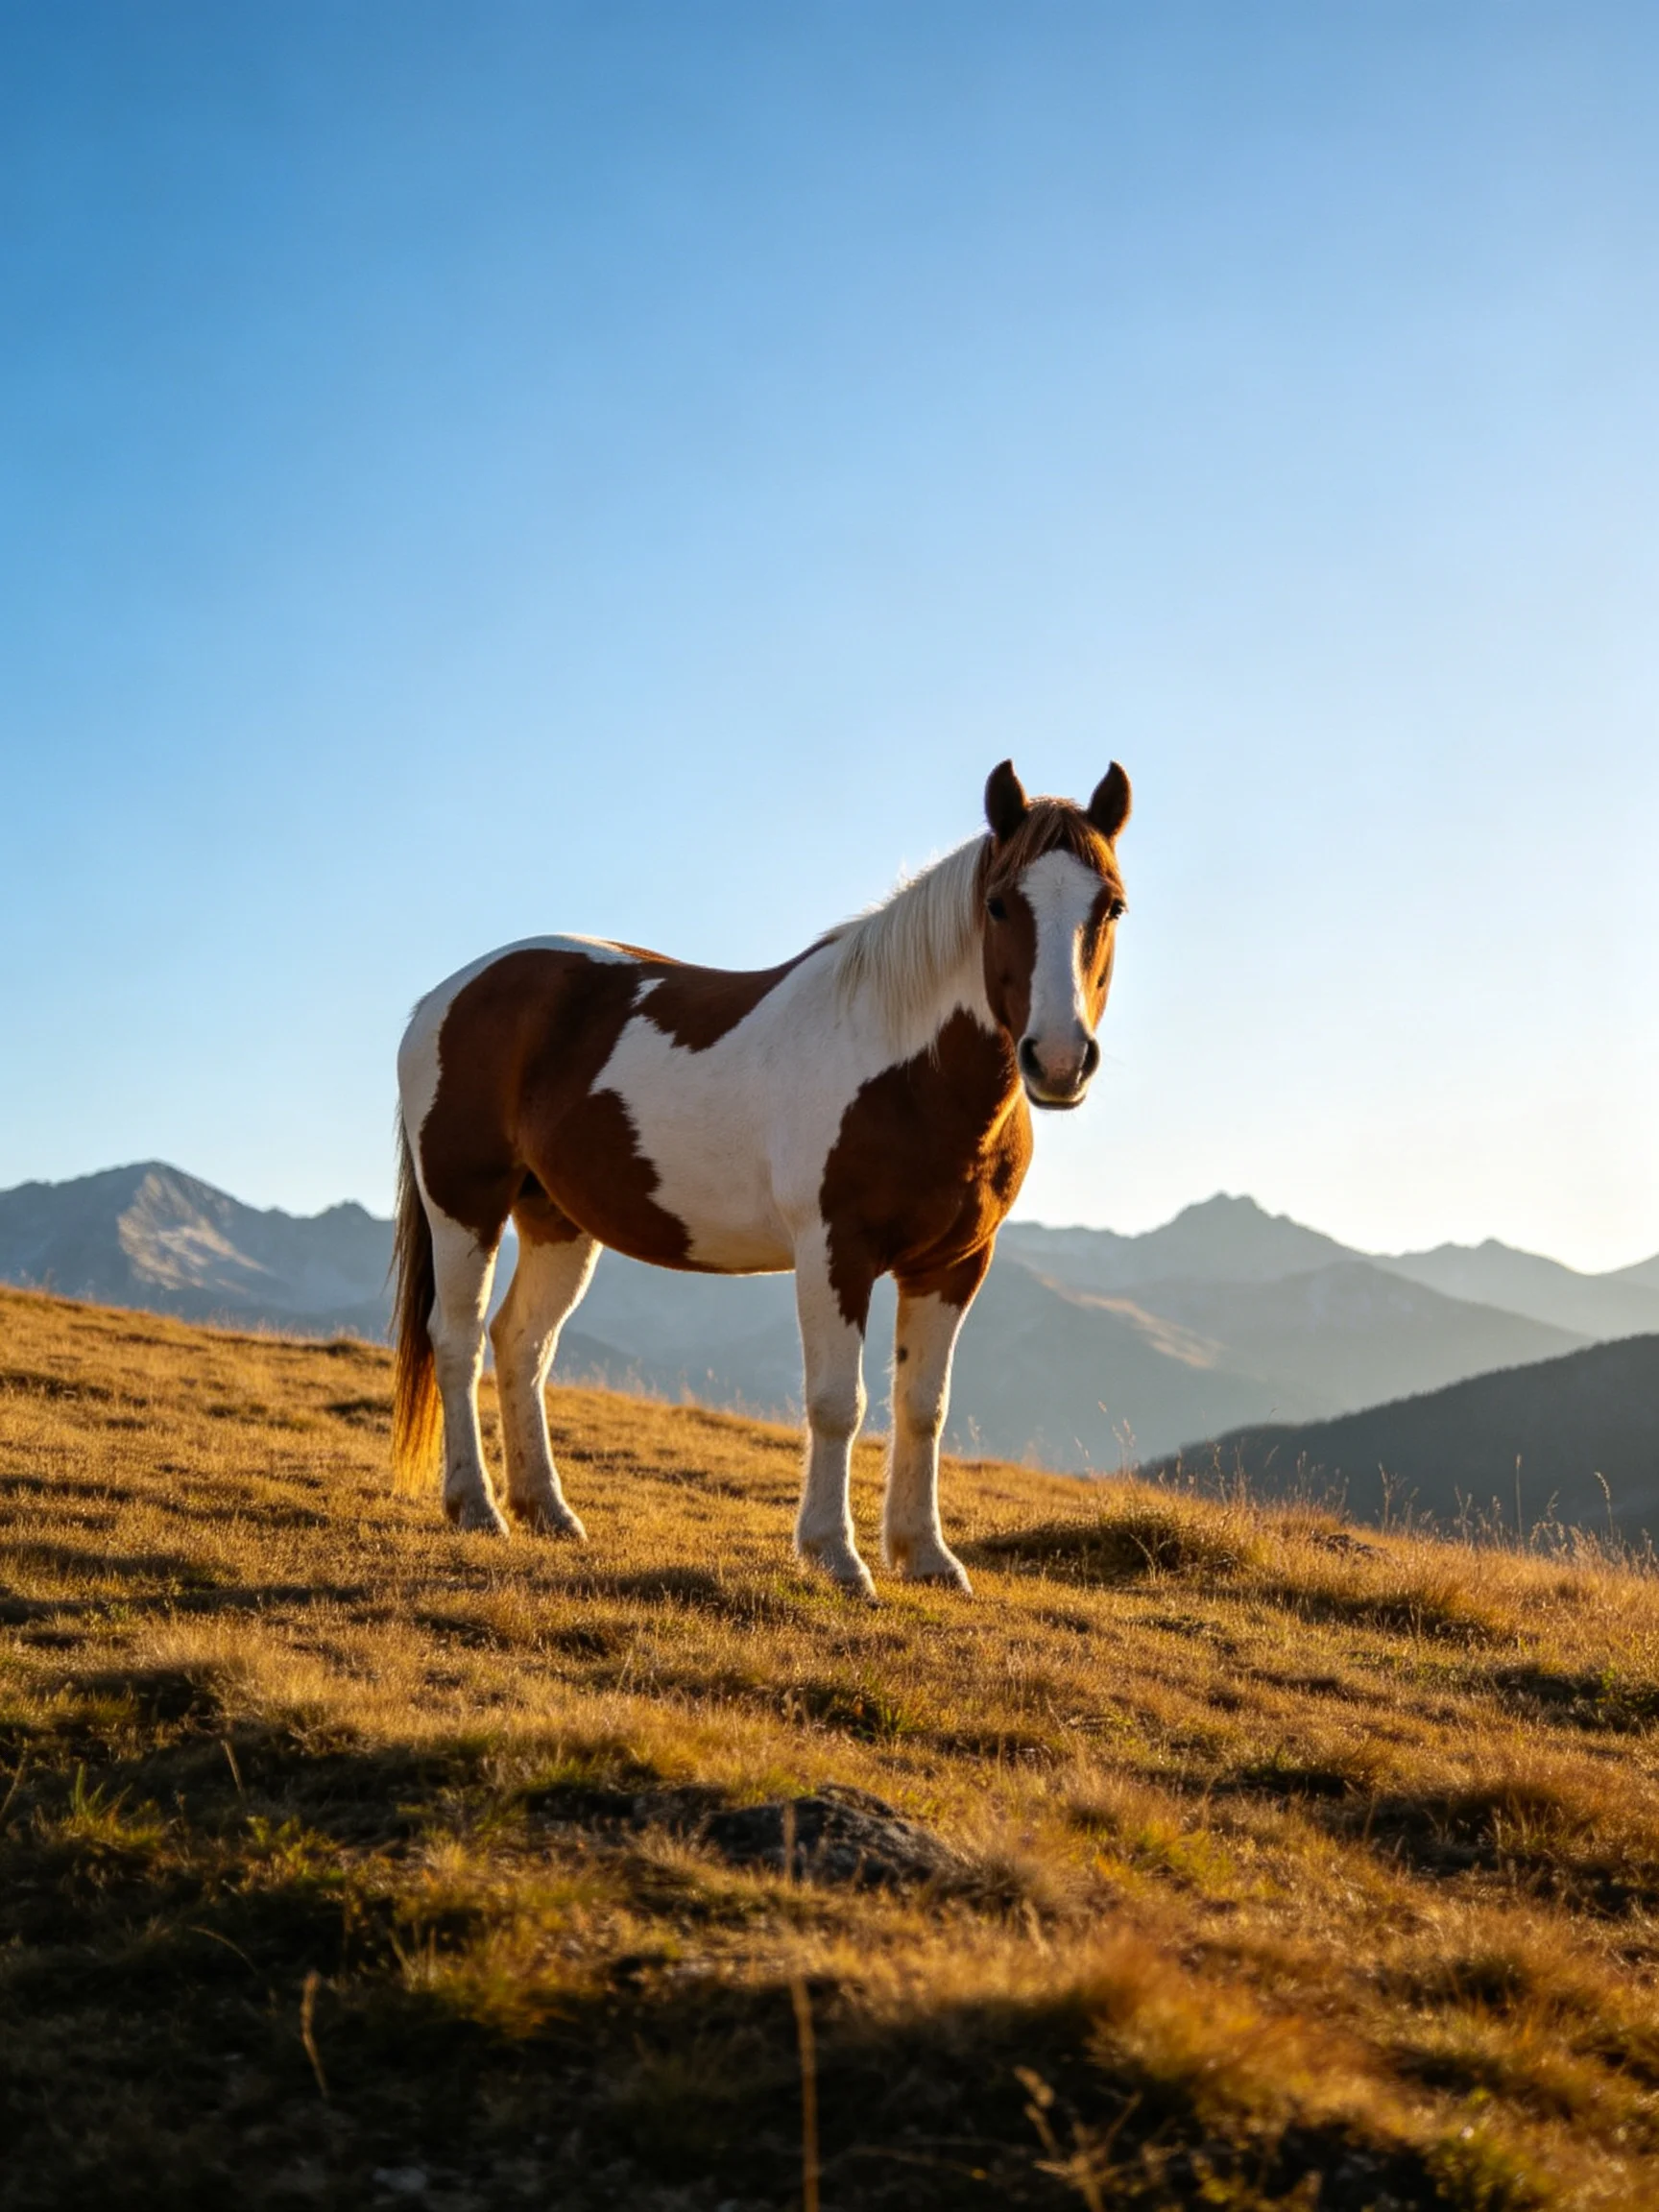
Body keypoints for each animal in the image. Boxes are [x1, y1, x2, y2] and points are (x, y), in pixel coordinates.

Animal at [391, 757, 1131, 1596]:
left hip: (556, 1220)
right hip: (464, 1203)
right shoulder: (835, 1251)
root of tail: (446, 995)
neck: (904, 1067)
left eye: (1110, 906)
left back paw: (546, 1509)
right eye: (1000, 904)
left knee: (521, 1342)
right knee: (456, 1341)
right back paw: (476, 1507)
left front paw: (926, 1555)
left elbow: (923, 1406)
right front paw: (835, 1555)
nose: (1058, 1060)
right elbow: (838, 1403)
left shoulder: (953, 1265)